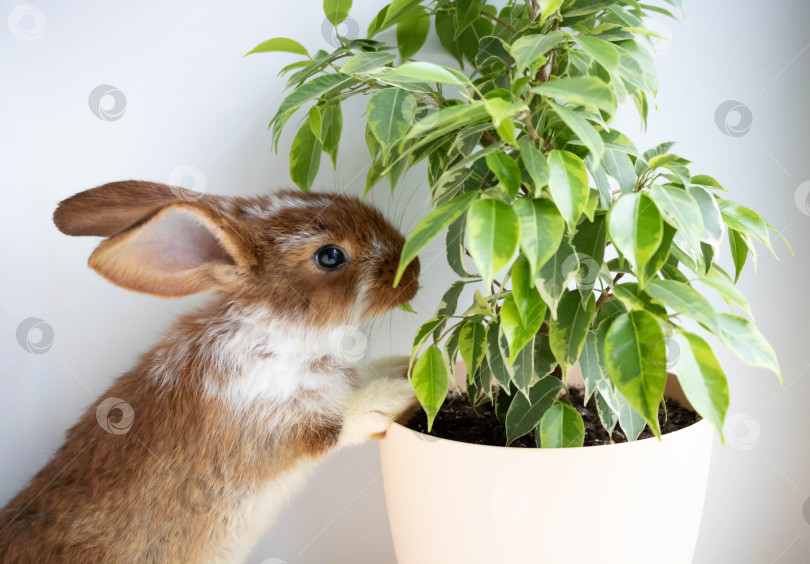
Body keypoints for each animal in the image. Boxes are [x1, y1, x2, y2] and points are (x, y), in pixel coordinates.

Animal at [0, 182, 416, 564]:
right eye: (330, 256)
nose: (412, 270)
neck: (279, 329)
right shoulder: (275, 423)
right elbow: (343, 422)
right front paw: (397, 396)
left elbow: (368, 374)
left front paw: (404, 367)